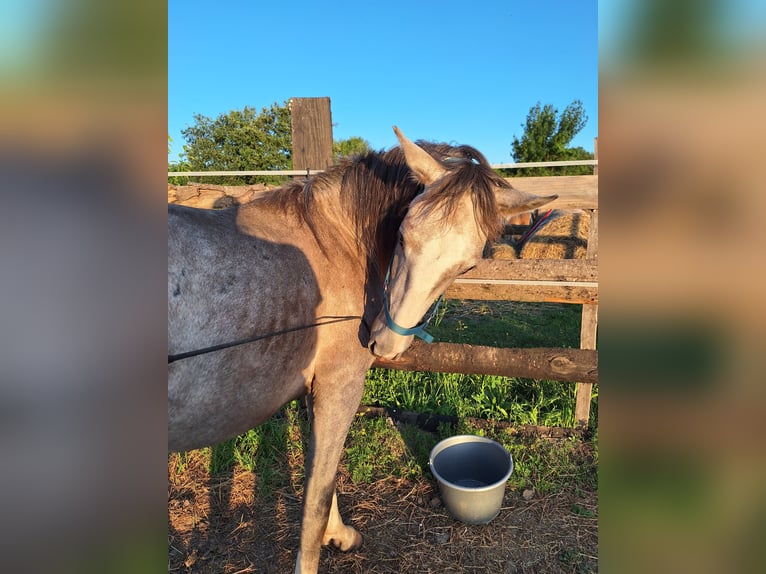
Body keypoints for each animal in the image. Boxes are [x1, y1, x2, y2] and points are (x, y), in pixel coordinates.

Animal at [168, 127, 560, 574]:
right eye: (403, 234)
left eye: (467, 267)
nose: (386, 343)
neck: (331, 244)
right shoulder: (342, 384)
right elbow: (316, 499)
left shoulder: (316, 388)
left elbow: (321, 470)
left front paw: (338, 534)